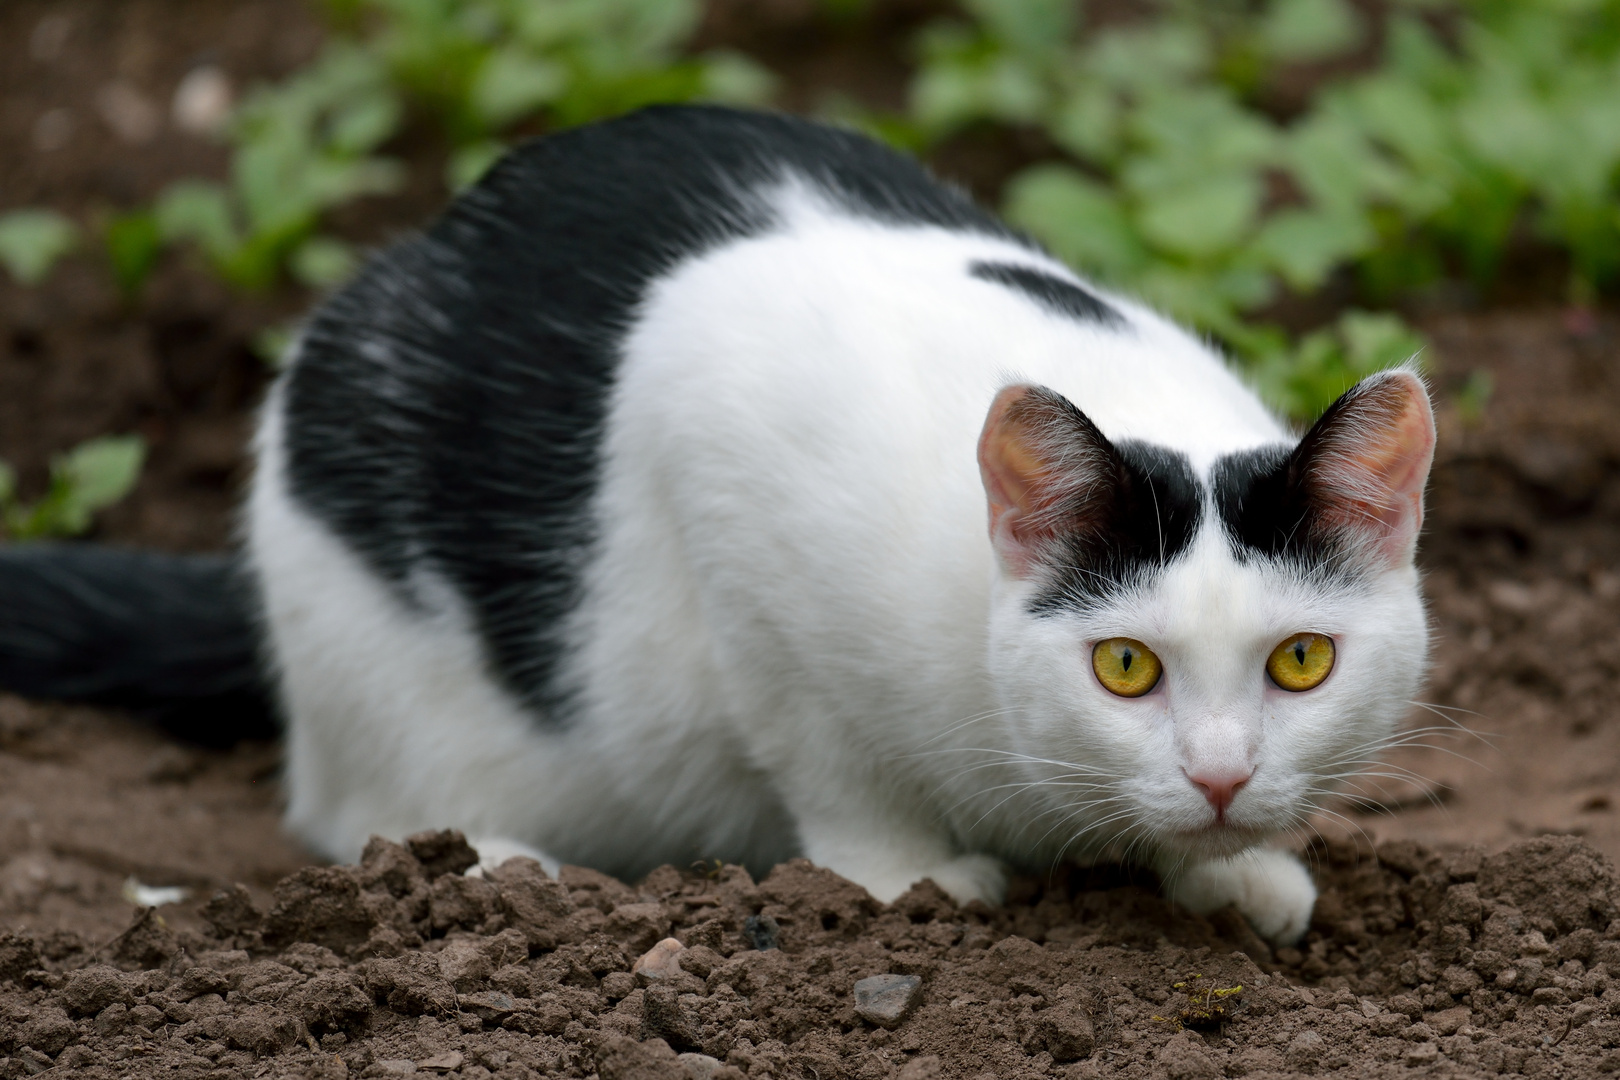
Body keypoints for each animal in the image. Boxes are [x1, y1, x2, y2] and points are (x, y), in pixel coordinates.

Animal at [0, 103, 1432, 945]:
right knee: (346, 809)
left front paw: (1233, 876)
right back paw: (498, 869)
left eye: (1302, 661)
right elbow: (831, 758)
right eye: (1124, 665)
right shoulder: (732, 483)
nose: (1221, 776)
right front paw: (906, 882)